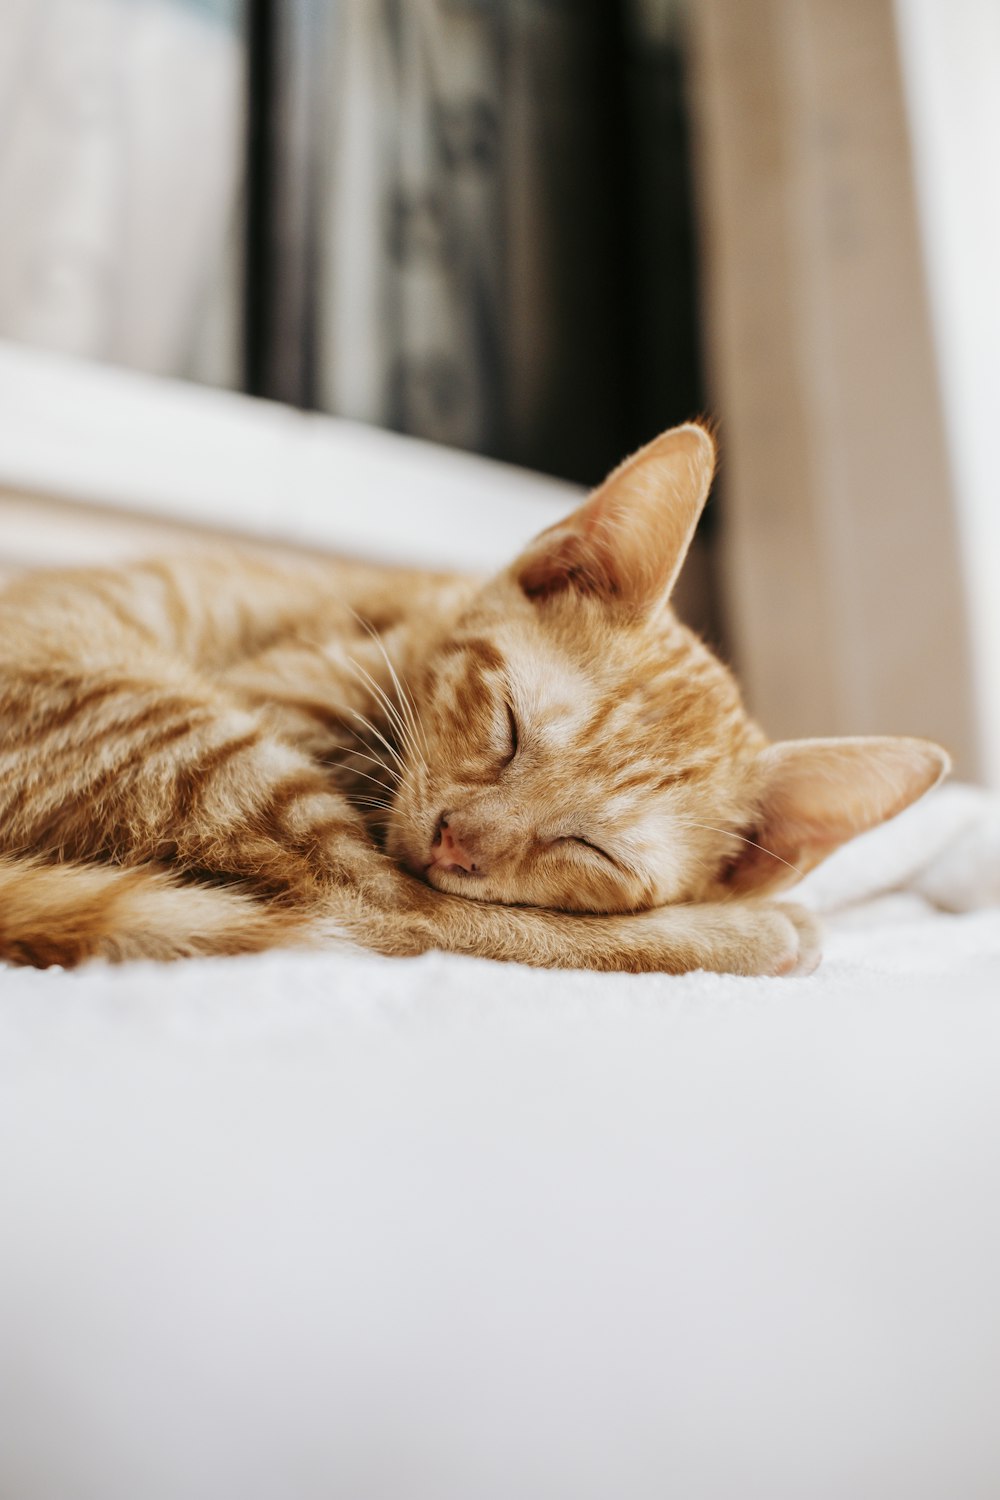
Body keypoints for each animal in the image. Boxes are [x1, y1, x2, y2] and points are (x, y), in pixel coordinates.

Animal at [0, 429, 947, 978]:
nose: (459, 840)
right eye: (510, 728)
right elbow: (432, 913)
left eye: (590, 849)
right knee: (383, 916)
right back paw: (754, 932)